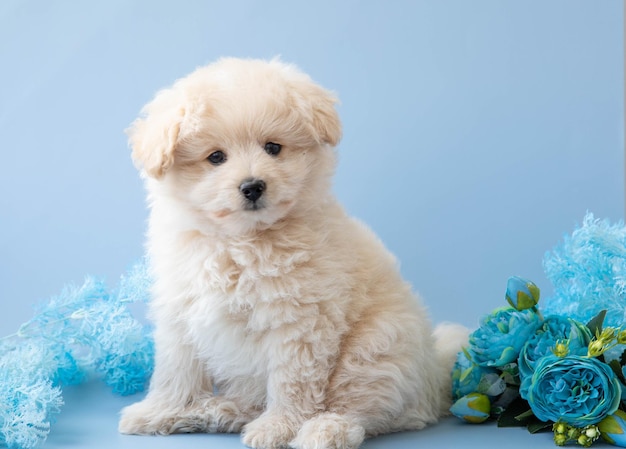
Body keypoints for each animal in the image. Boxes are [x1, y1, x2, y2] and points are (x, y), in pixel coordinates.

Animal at [119, 57, 466, 448]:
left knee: (362, 408)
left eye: (273, 148)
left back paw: (323, 430)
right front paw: (160, 411)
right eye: (216, 157)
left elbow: (291, 381)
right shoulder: (181, 310)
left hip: (375, 347)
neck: (240, 241)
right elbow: (175, 369)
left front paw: (279, 427)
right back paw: (219, 410)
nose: (252, 186)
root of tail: (434, 374)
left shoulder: (299, 321)